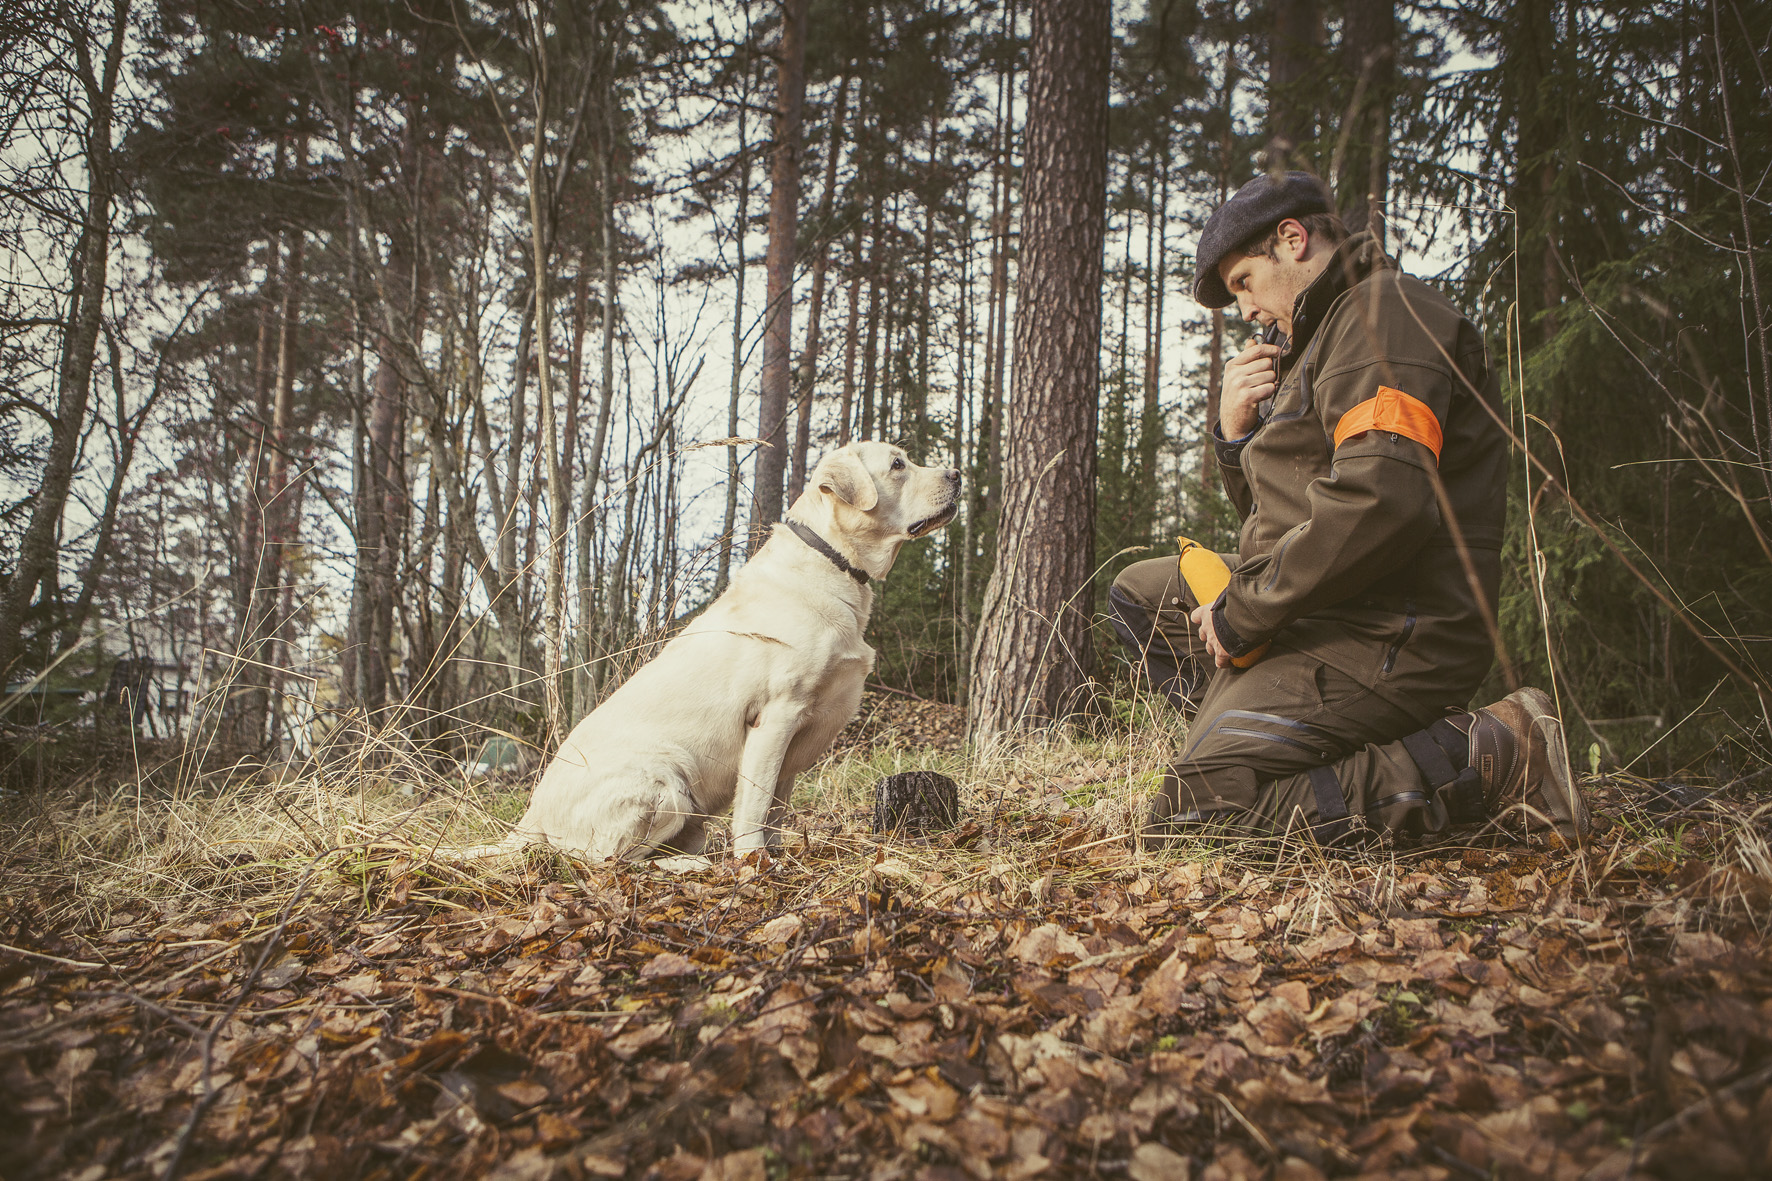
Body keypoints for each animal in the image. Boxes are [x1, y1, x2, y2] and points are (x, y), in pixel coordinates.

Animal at [471, 439, 956, 854]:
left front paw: (777, 855)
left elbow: (776, 808)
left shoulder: (794, 741)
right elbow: (755, 807)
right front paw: (754, 863)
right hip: (666, 781)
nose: (956, 474)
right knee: (604, 860)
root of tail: (530, 817)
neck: (832, 561)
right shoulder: (776, 717)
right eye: (898, 465)